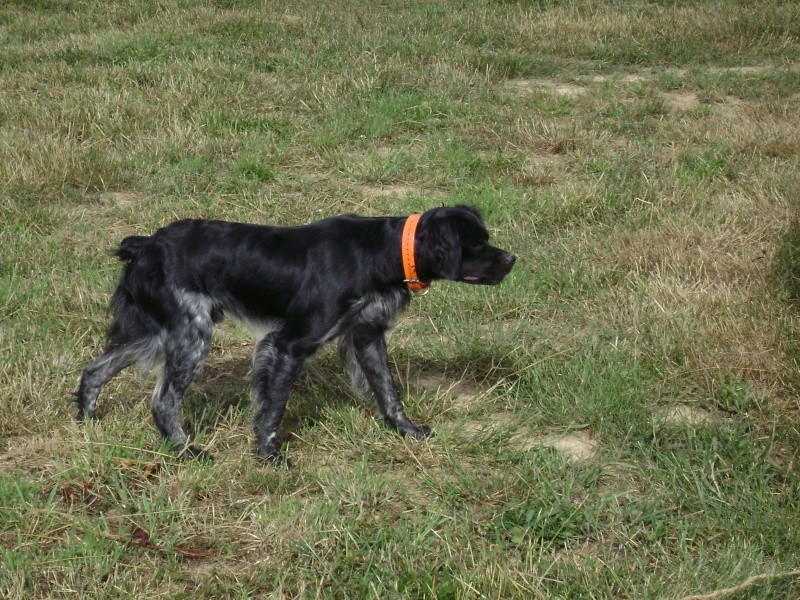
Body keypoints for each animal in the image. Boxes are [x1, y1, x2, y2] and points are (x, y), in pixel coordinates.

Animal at [78, 204, 516, 462]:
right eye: (475, 244)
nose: (512, 259)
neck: (383, 251)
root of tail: (146, 245)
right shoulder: (290, 344)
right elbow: (273, 407)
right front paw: (269, 457)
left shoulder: (367, 335)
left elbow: (389, 392)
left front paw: (406, 431)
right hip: (191, 335)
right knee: (163, 400)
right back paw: (186, 451)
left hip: (155, 332)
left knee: (94, 370)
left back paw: (86, 421)